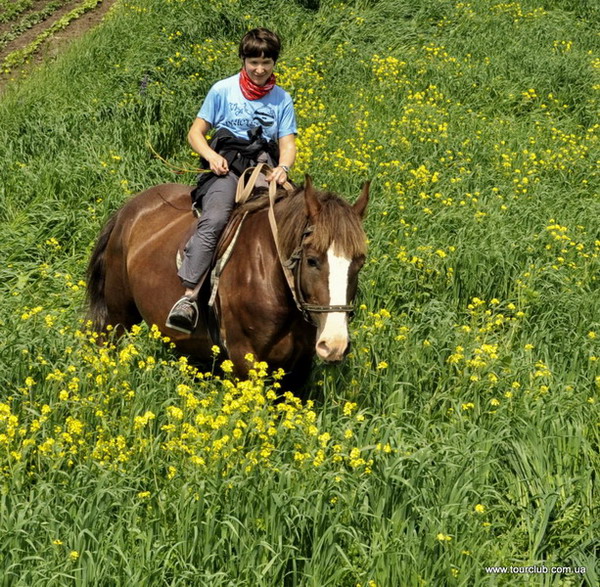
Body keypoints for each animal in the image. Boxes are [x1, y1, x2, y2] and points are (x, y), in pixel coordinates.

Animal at [86, 177, 368, 388]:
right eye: (312, 260)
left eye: (359, 262)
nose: (335, 345)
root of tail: (131, 208)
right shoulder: (244, 359)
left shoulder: (299, 368)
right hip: (117, 316)